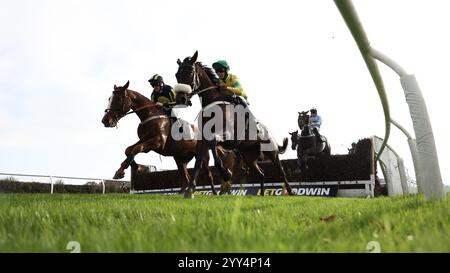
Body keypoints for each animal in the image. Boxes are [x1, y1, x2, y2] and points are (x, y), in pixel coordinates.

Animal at [100, 79, 230, 194]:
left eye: (118, 99)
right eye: (109, 98)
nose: (105, 120)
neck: (149, 115)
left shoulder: (158, 142)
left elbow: (137, 148)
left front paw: (122, 171)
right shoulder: (144, 140)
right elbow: (129, 150)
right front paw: (133, 167)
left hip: (203, 156)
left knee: (208, 174)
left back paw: (214, 192)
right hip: (180, 159)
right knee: (186, 177)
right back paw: (183, 192)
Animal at [174, 50, 294, 196]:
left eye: (190, 72)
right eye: (177, 75)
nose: (181, 98)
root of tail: (269, 132)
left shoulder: (229, 136)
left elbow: (215, 148)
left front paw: (226, 173)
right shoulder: (203, 139)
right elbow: (198, 162)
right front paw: (190, 190)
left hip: (272, 152)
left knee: (281, 172)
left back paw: (291, 191)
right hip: (249, 157)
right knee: (261, 173)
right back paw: (261, 193)